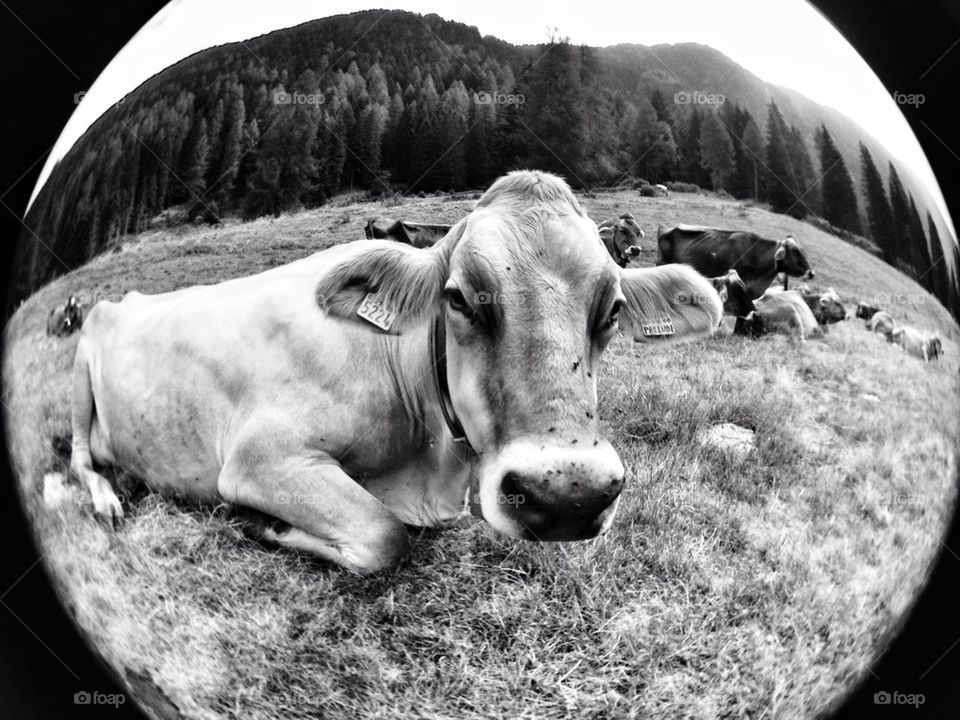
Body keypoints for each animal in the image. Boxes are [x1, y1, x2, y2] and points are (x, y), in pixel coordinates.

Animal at [69, 171, 722, 574]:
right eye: (458, 298)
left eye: (612, 310)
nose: (568, 495)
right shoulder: (261, 459)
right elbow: (385, 534)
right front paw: (259, 522)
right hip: (78, 366)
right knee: (79, 456)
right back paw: (107, 498)